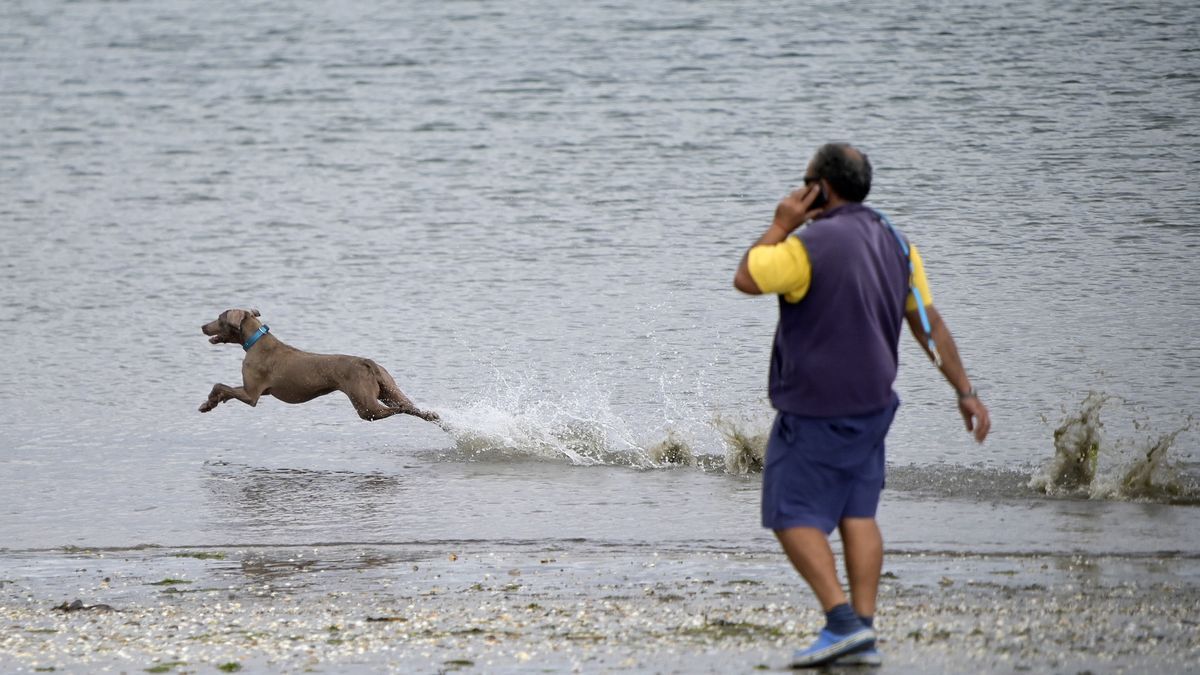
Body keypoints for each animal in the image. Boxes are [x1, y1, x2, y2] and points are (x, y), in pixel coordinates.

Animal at [201, 306, 441, 420]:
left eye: (219, 319)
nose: (202, 326)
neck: (255, 339)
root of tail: (367, 362)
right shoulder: (255, 390)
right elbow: (223, 388)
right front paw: (212, 402)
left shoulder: (252, 395)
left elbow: (220, 385)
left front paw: (209, 402)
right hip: (388, 389)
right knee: (413, 408)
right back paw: (433, 416)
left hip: (365, 405)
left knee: (395, 410)